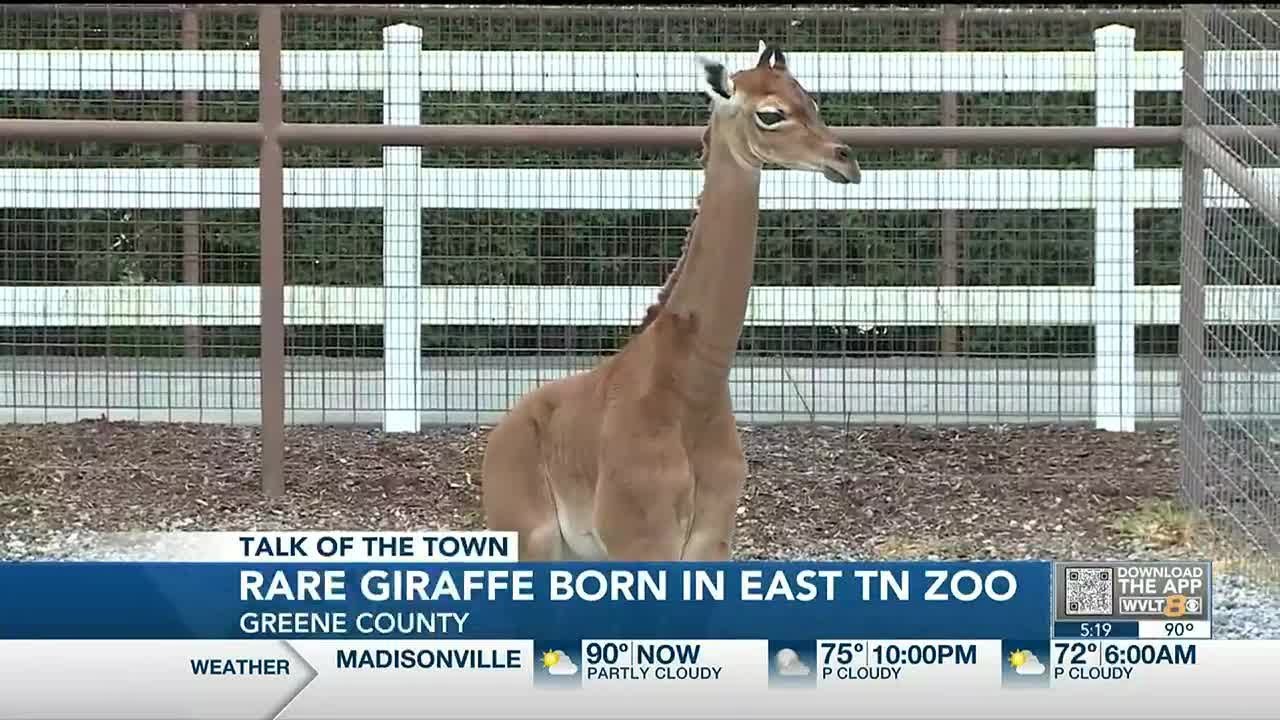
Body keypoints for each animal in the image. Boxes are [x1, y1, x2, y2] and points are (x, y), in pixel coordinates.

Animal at [479, 40, 861, 562]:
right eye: (770, 114)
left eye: (813, 101)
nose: (845, 161)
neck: (692, 388)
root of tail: (497, 439)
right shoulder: (641, 538)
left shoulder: (711, 538)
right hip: (528, 538)